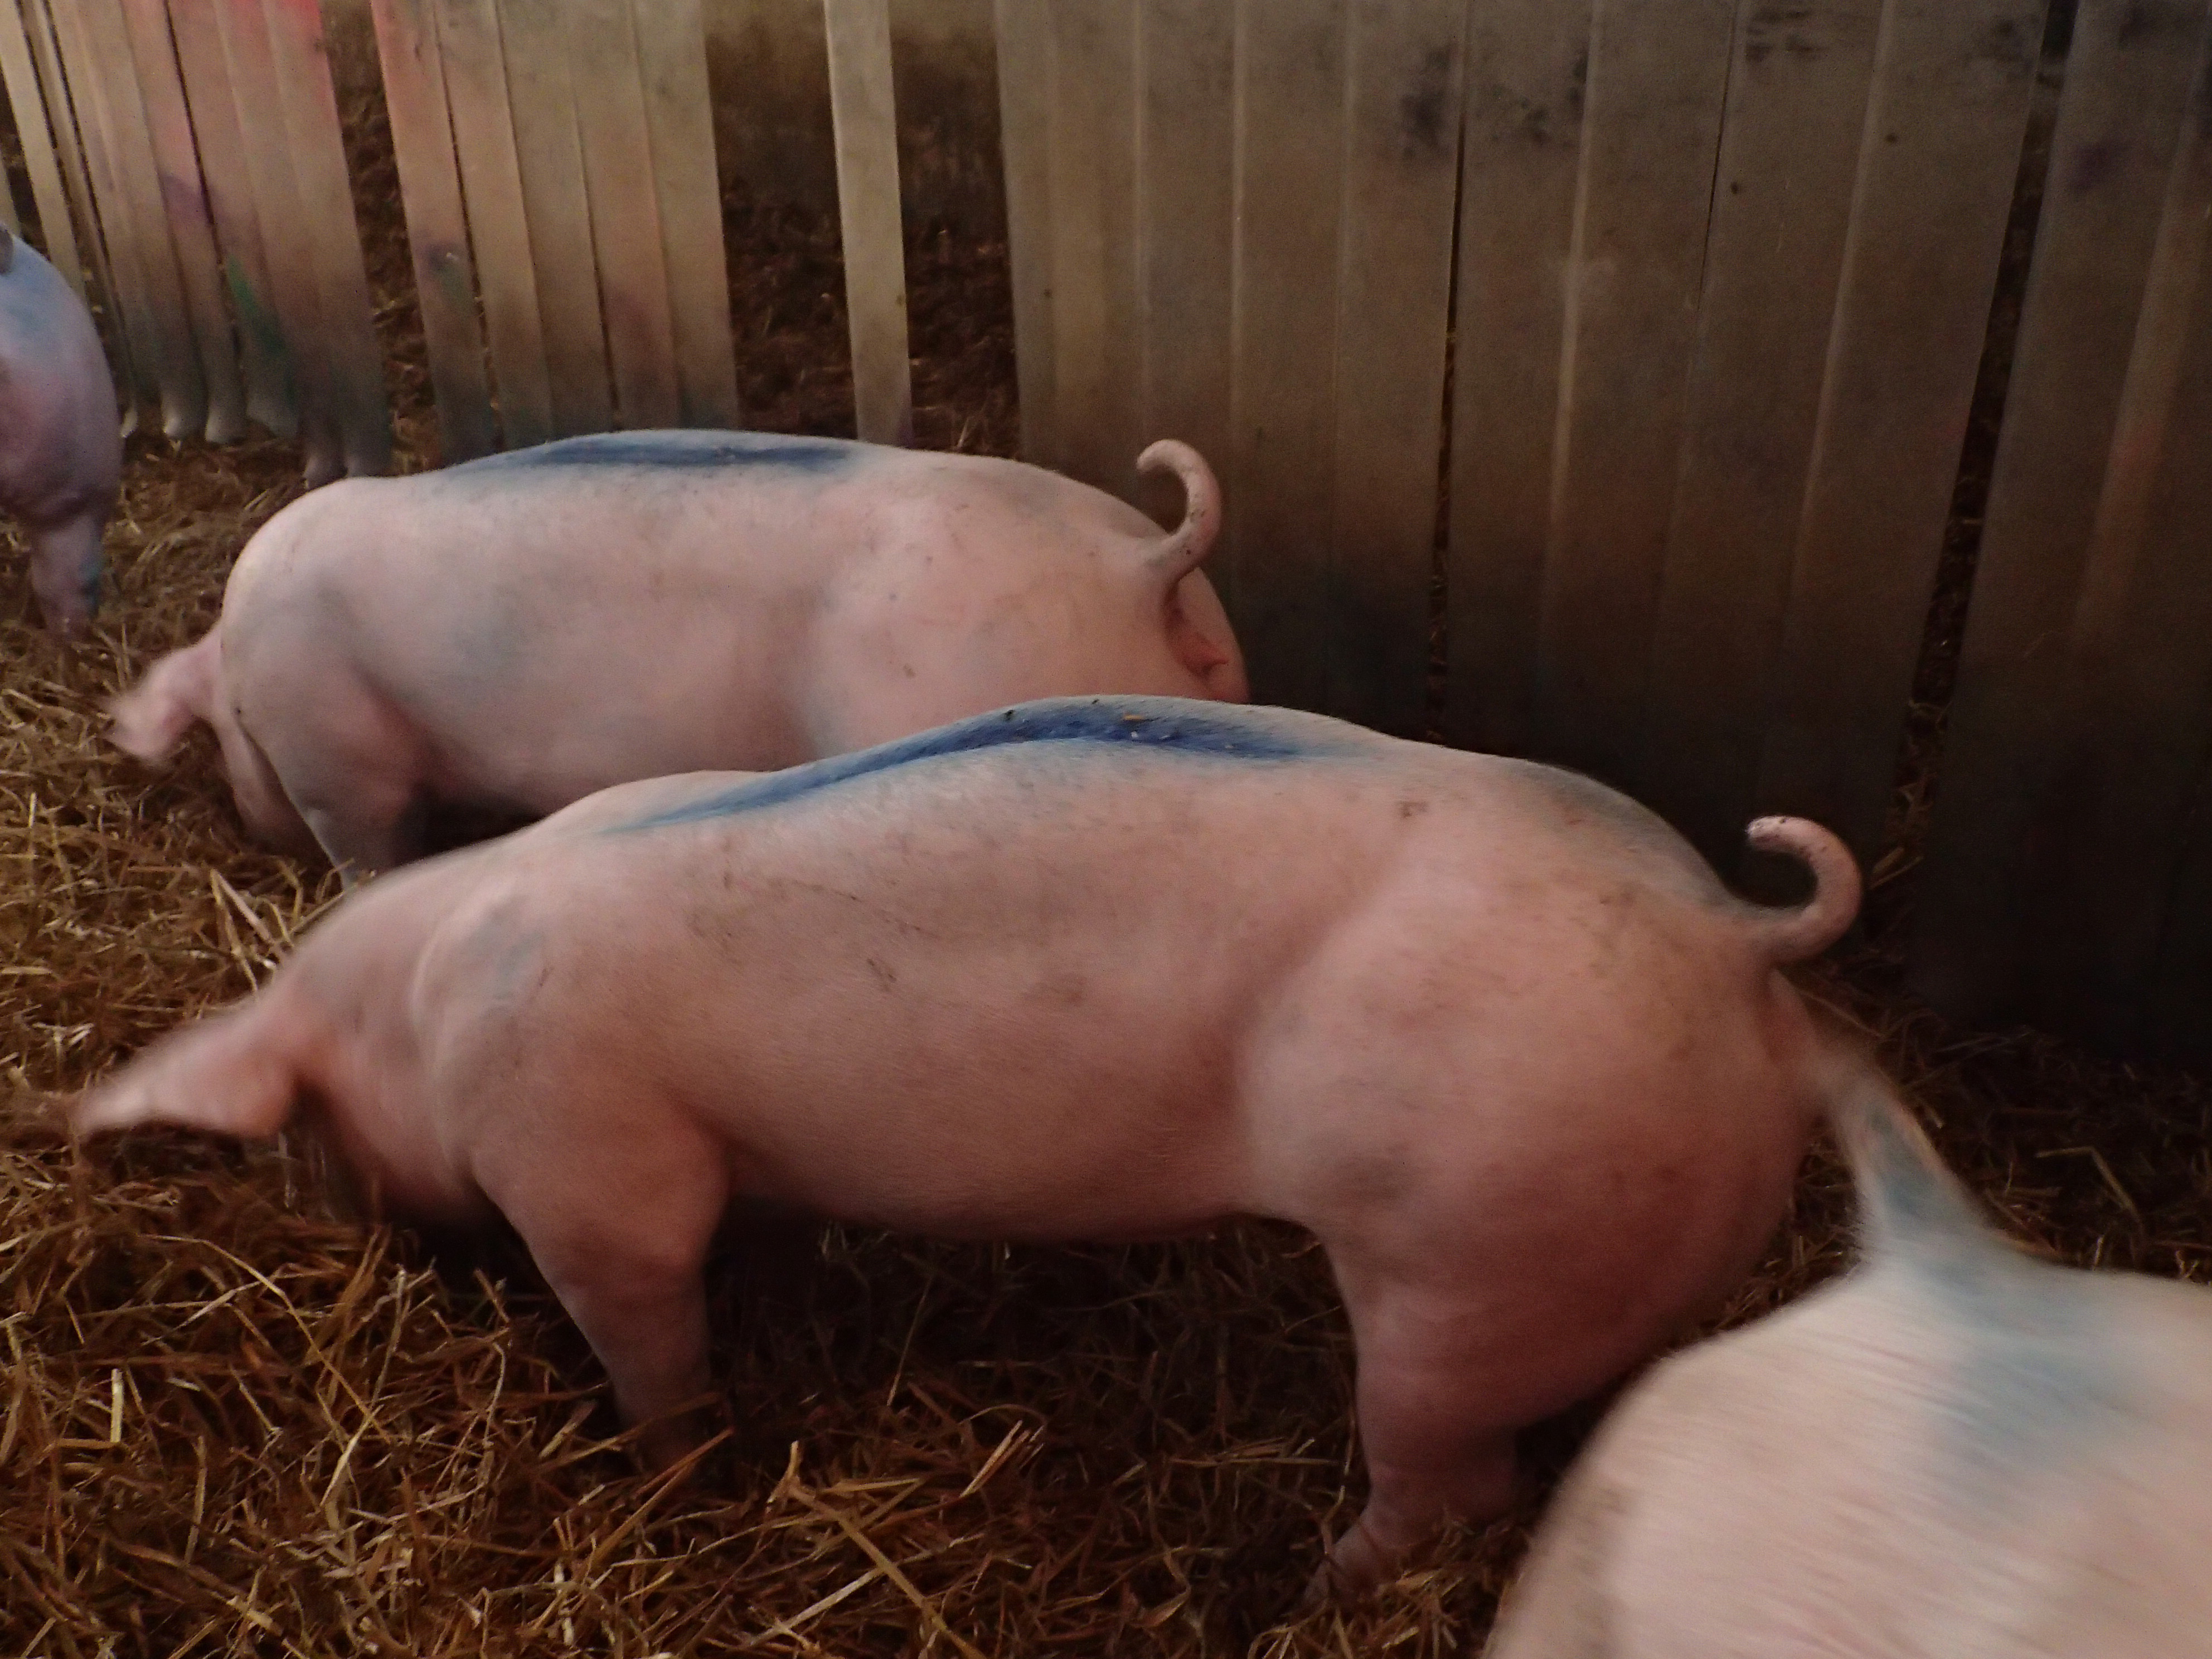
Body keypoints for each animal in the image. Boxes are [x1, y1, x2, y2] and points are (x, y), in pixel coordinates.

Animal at [72, 695, 1861, 1599]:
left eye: (304, 1124)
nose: (338, 1217)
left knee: (1450, 1488)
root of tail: (1727, 940)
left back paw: (1307, 1590)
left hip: (1466, 1261)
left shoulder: (590, 1162)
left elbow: (647, 1329)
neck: (423, 1001)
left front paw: (669, 1462)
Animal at [105, 430, 1247, 877]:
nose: (252, 824)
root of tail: (1140, 561)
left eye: (218, 734)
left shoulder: (346, 772)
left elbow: (372, 860)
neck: (237, 669)